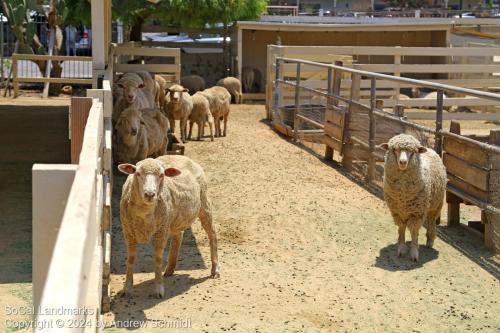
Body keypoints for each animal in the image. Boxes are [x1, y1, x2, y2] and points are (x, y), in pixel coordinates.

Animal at [118, 156, 220, 298]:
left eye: (161, 175)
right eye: (137, 173)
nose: (150, 194)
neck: (144, 213)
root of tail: (183, 157)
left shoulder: (161, 232)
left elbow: (157, 259)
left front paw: (159, 289)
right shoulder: (128, 233)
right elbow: (131, 260)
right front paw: (126, 288)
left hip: (204, 203)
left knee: (212, 233)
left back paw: (215, 269)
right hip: (176, 219)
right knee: (179, 236)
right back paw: (170, 269)